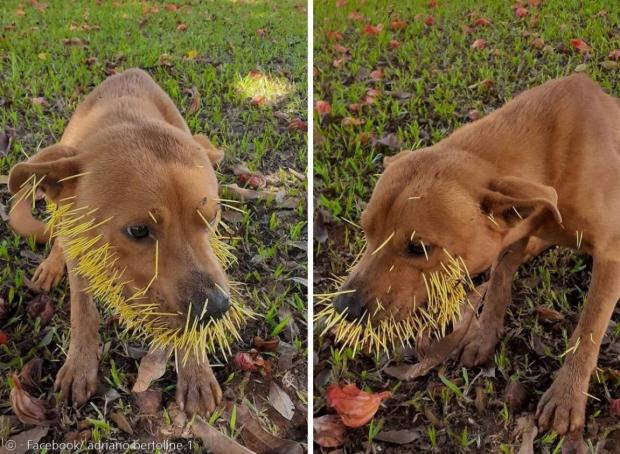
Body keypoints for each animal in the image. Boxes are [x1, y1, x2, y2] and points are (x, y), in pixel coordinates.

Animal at [6, 68, 230, 414]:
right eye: (138, 230)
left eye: (212, 215)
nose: (217, 308)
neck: (128, 119)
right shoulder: (80, 255)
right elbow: (84, 313)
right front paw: (81, 365)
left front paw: (196, 370)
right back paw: (52, 265)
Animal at [334, 75, 620, 436]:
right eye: (366, 232)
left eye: (419, 247)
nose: (343, 307)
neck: (551, 157)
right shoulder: (515, 230)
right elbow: (499, 282)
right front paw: (484, 334)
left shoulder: (611, 255)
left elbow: (588, 328)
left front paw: (567, 394)